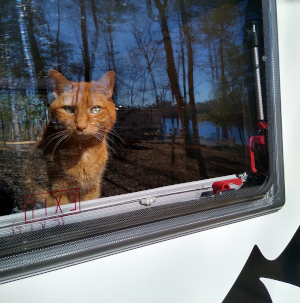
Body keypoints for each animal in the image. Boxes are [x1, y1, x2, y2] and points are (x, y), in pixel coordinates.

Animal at [24, 70, 116, 209]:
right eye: (69, 109)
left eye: (95, 109)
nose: (81, 126)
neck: (83, 152)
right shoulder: (59, 190)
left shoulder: (93, 188)